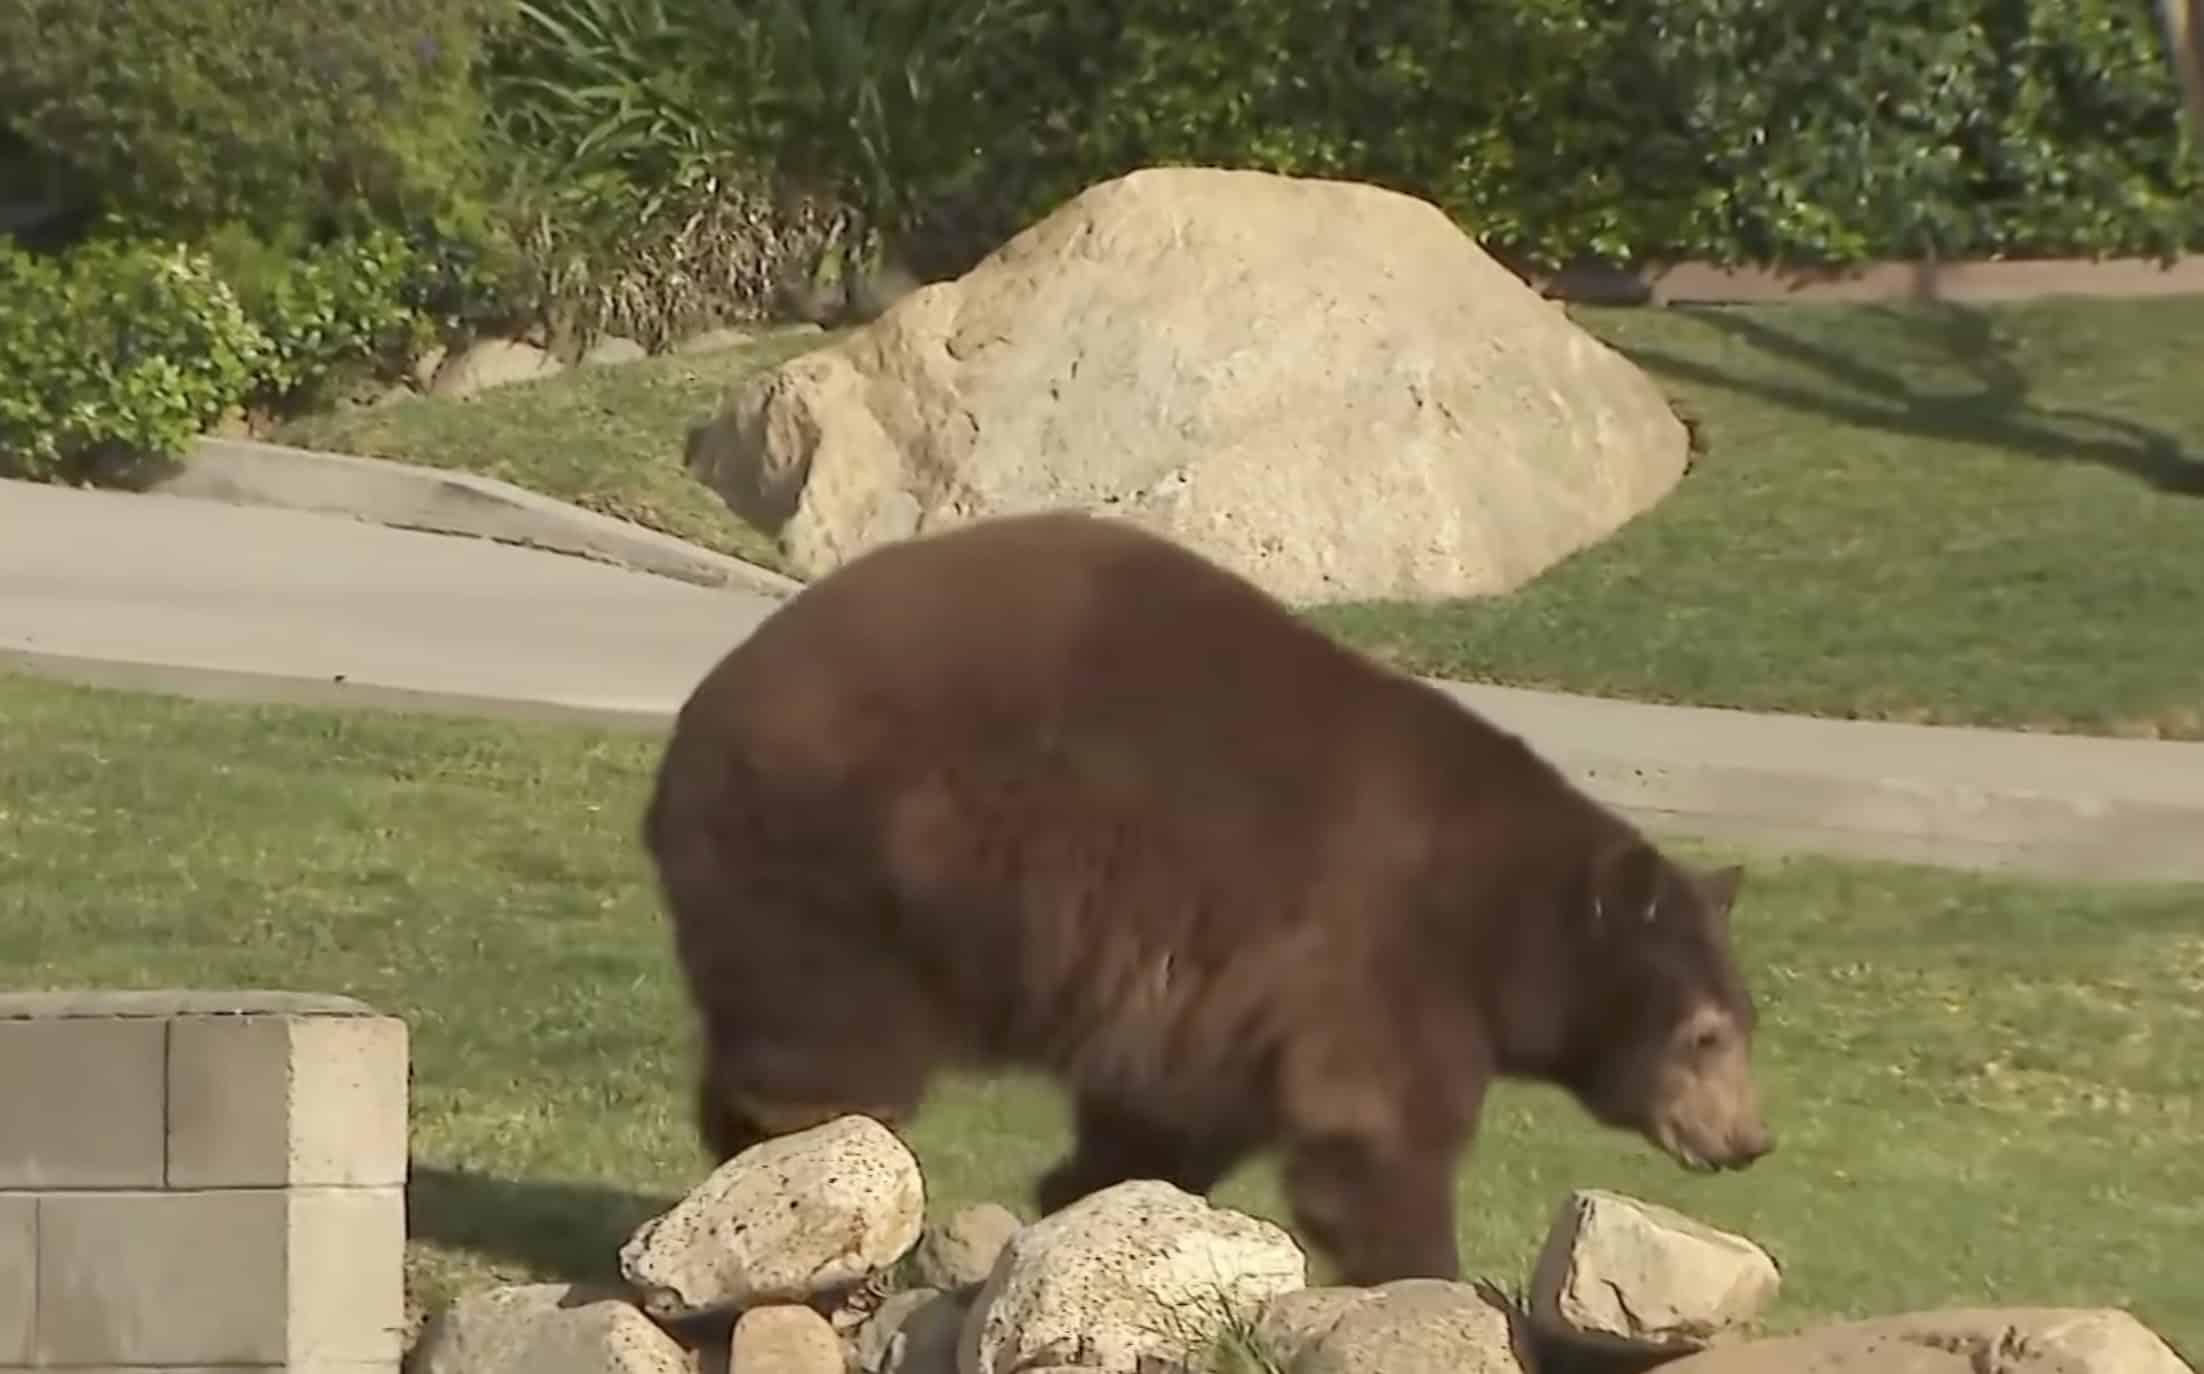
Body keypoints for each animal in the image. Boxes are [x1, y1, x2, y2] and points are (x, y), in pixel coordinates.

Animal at [642, 510, 1772, 1287]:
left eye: (1739, 1025)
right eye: (1706, 1035)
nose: (1749, 1141)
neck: (1503, 917)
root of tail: (697, 718)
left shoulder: (1214, 995)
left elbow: (1170, 1114)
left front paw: (1083, 1195)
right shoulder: (1383, 947)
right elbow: (1378, 1130)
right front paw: (1425, 1273)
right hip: (859, 856)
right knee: (832, 1040)